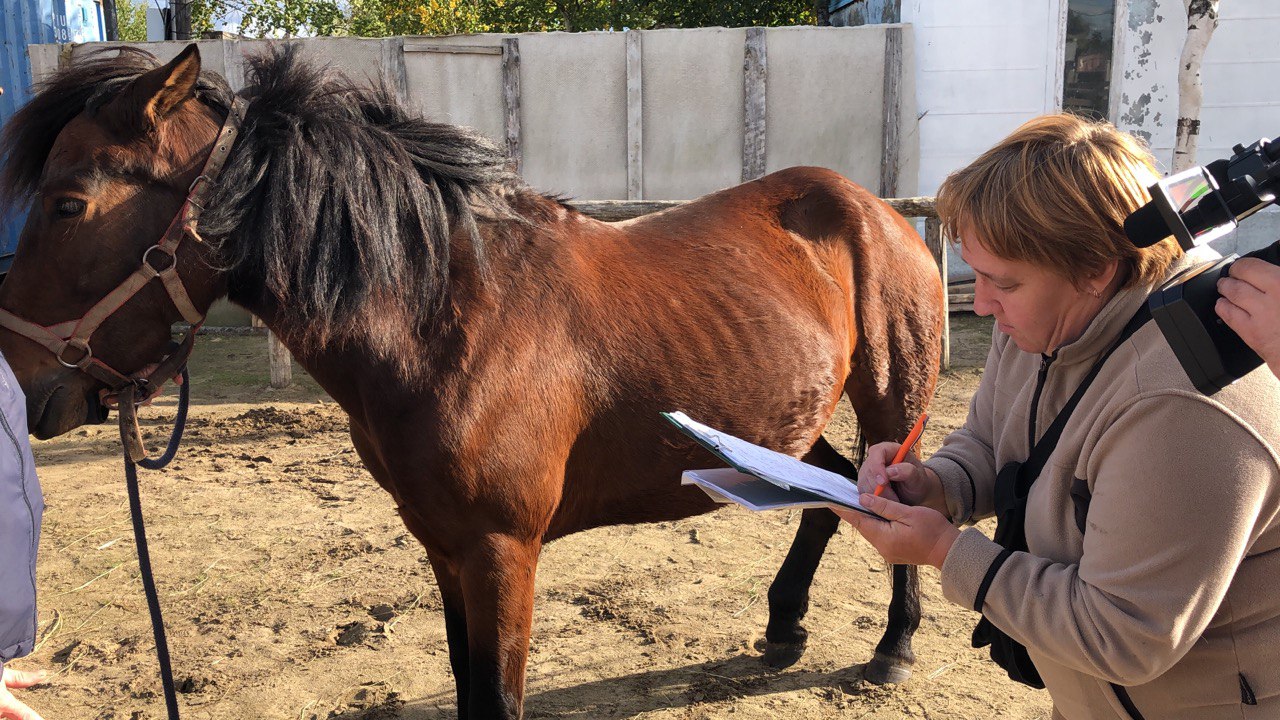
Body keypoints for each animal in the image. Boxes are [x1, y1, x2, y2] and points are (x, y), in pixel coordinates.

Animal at [0, 46, 942, 717]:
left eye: (69, 203)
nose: (22, 378)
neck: (451, 320)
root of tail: (877, 208)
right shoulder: (443, 543)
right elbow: (464, 686)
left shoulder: (501, 551)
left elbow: (496, 698)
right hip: (776, 422)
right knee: (820, 492)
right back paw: (783, 626)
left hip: (890, 402)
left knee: (885, 495)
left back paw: (893, 648)